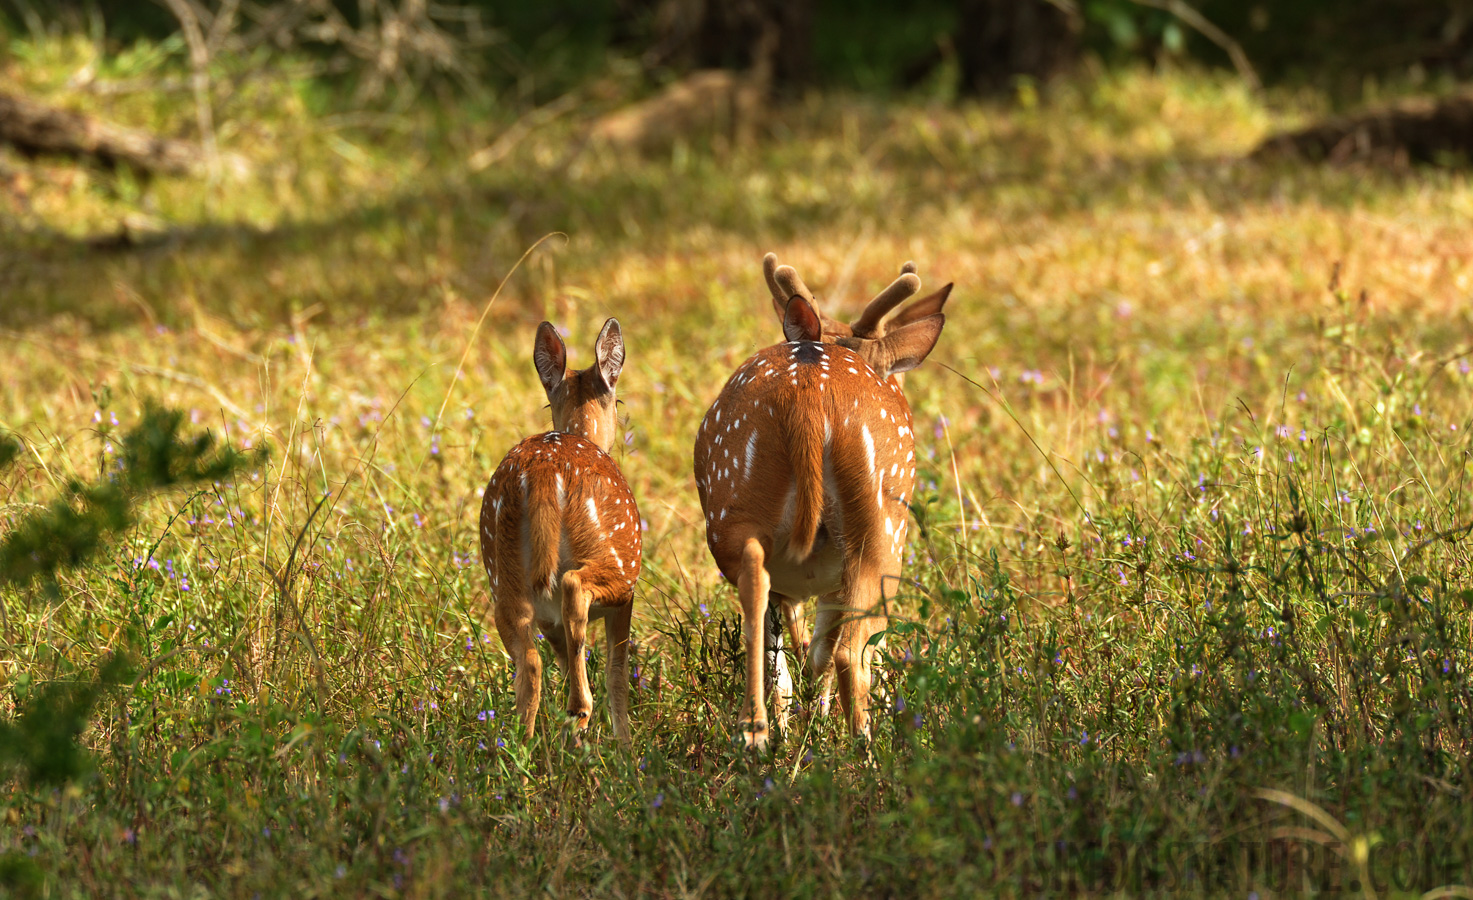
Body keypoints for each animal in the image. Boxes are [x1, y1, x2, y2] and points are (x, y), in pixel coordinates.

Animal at [480, 321, 642, 742]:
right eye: (618, 401)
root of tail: (542, 471)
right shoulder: (626, 598)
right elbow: (617, 674)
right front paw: (625, 747)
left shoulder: (549, 623)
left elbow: (566, 660)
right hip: (616, 561)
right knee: (574, 587)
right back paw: (579, 711)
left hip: (503, 576)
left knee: (529, 665)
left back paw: (525, 746)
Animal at [695, 254, 948, 745]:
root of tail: (809, 400)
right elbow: (828, 651)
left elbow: (806, 652)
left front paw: (804, 720)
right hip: (883, 532)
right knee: (855, 650)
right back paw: (864, 745)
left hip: (733, 505)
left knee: (757, 595)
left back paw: (757, 733)